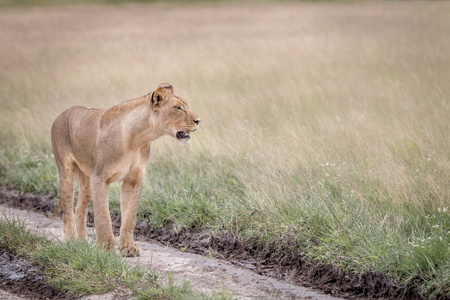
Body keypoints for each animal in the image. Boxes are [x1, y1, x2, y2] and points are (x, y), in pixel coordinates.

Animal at [51, 82, 200, 255]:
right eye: (178, 108)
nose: (198, 120)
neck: (139, 138)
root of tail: (60, 115)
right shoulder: (99, 178)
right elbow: (103, 216)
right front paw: (106, 248)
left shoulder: (134, 180)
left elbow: (130, 218)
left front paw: (128, 248)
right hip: (67, 171)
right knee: (67, 210)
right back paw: (72, 242)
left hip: (86, 180)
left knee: (79, 208)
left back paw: (83, 243)